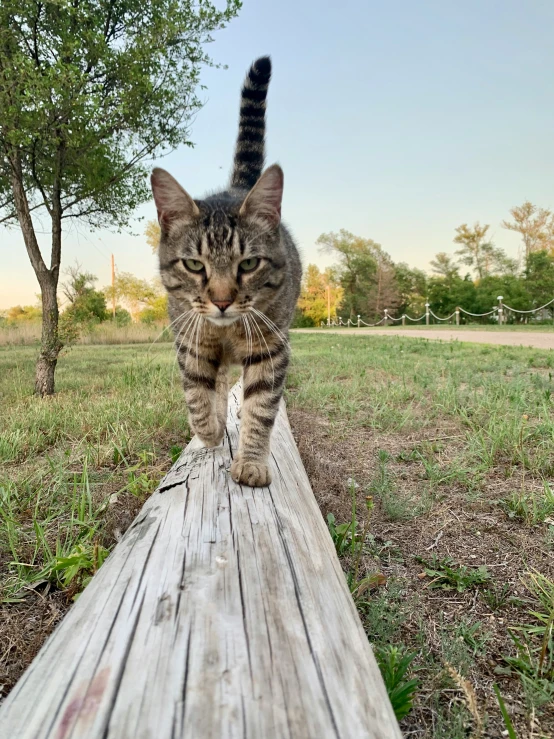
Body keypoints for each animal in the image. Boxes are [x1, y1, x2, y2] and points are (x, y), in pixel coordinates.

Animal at [149, 56, 300, 486]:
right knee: (214, 385)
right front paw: (209, 431)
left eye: (248, 263)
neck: (228, 332)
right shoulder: (191, 343)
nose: (221, 302)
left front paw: (250, 462)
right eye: (193, 265)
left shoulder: (271, 348)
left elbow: (259, 409)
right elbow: (197, 396)